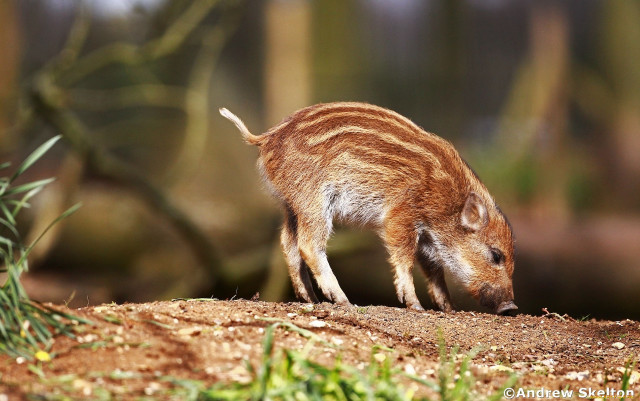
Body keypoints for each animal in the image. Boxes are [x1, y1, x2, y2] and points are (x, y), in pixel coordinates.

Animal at [220, 102, 517, 315]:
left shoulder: (428, 239)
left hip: (291, 204)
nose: (511, 307)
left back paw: (311, 299)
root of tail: (265, 138)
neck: (449, 200)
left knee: (287, 242)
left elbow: (434, 270)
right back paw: (343, 300)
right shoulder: (401, 215)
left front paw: (448, 309)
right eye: (496, 255)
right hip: (313, 200)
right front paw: (415, 306)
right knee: (309, 244)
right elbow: (405, 258)